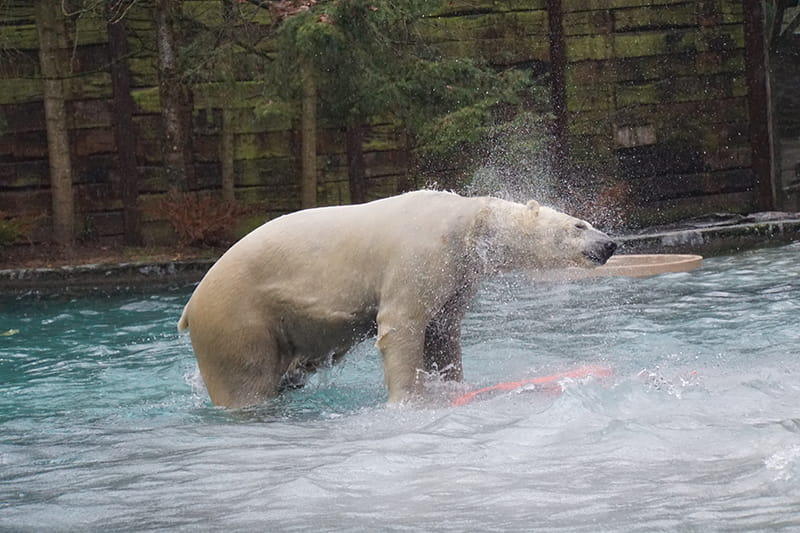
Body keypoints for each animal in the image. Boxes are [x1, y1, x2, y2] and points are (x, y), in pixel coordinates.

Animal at [178, 189, 616, 406]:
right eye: (580, 224)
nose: (610, 243)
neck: (472, 225)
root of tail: (190, 307)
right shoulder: (423, 253)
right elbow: (402, 323)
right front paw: (408, 400)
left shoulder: (457, 275)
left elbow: (443, 330)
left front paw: (452, 383)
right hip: (238, 316)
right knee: (245, 378)